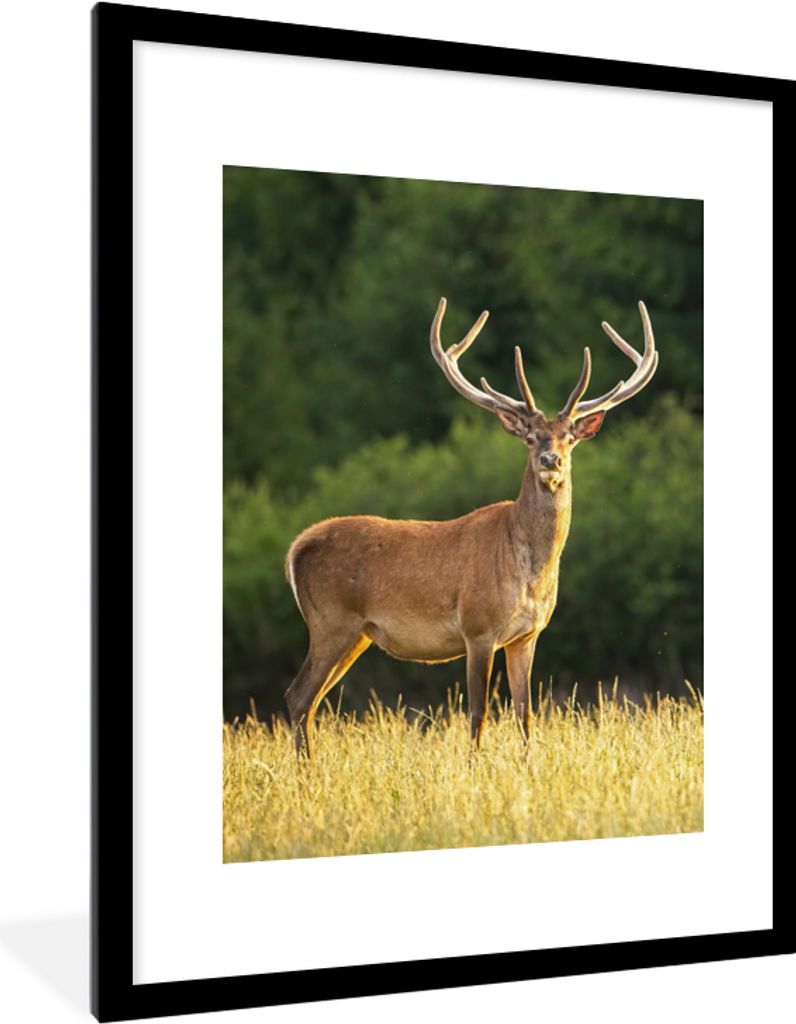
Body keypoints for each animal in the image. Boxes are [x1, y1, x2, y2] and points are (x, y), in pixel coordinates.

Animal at [284, 298, 658, 757]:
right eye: (530, 437)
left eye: (569, 438)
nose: (550, 460)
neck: (528, 571)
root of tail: (295, 549)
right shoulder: (477, 628)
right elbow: (478, 714)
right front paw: (474, 766)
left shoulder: (527, 635)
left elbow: (525, 715)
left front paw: (527, 765)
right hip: (330, 621)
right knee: (298, 695)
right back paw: (307, 769)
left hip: (357, 634)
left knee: (311, 700)